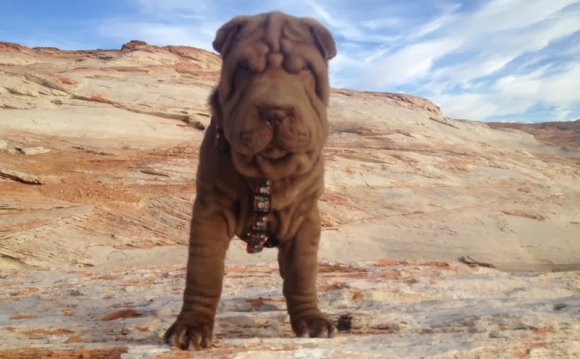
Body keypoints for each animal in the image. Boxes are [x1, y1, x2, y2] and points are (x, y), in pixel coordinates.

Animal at [163, 11, 336, 352]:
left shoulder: (305, 218)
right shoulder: (210, 211)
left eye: (306, 69)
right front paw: (192, 326)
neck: (268, 172)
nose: (275, 111)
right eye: (243, 68)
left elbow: (302, 273)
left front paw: (311, 320)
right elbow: (204, 271)